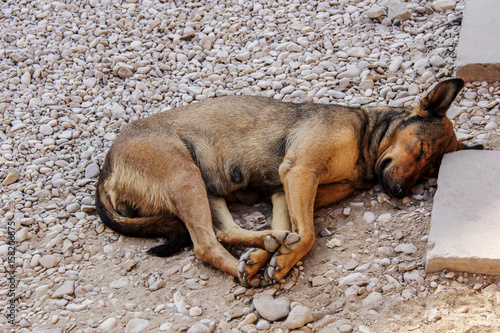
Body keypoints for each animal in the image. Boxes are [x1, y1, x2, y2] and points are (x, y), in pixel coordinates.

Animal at [96, 77, 476, 286]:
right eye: (420, 149)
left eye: (430, 173)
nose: (398, 192)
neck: (364, 139)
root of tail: (107, 164)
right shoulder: (299, 171)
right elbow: (307, 234)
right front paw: (279, 260)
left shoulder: (284, 190)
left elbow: (293, 227)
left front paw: (273, 256)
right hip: (184, 176)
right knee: (205, 244)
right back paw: (246, 271)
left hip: (206, 187)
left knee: (224, 232)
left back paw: (263, 247)